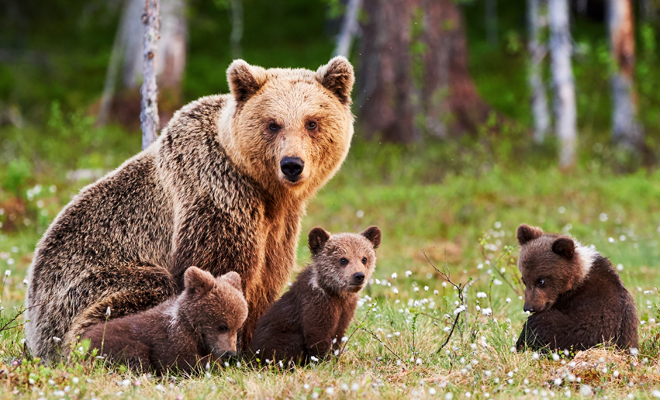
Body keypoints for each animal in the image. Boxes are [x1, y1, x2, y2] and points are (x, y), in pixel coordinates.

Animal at [24, 56, 356, 360]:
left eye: (312, 122)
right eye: (272, 124)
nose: (292, 164)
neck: (263, 189)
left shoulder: (280, 224)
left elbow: (267, 279)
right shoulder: (216, 192)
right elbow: (218, 269)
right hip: (86, 285)